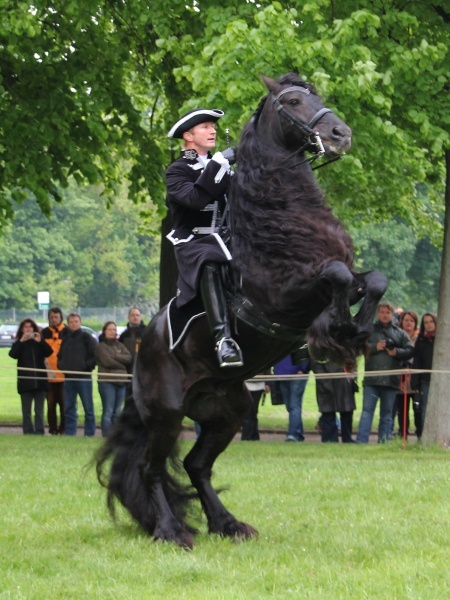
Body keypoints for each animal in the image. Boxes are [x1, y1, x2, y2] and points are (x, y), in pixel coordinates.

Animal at [96, 71, 388, 548]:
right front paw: (333, 334)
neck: (279, 212)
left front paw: (355, 332)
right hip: (167, 414)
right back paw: (170, 531)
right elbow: (339, 276)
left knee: (196, 465)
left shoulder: (329, 276)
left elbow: (371, 279)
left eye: (317, 96)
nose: (340, 135)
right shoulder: (289, 291)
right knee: (151, 468)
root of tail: (142, 352)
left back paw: (227, 524)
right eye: (293, 101)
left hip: (228, 412)